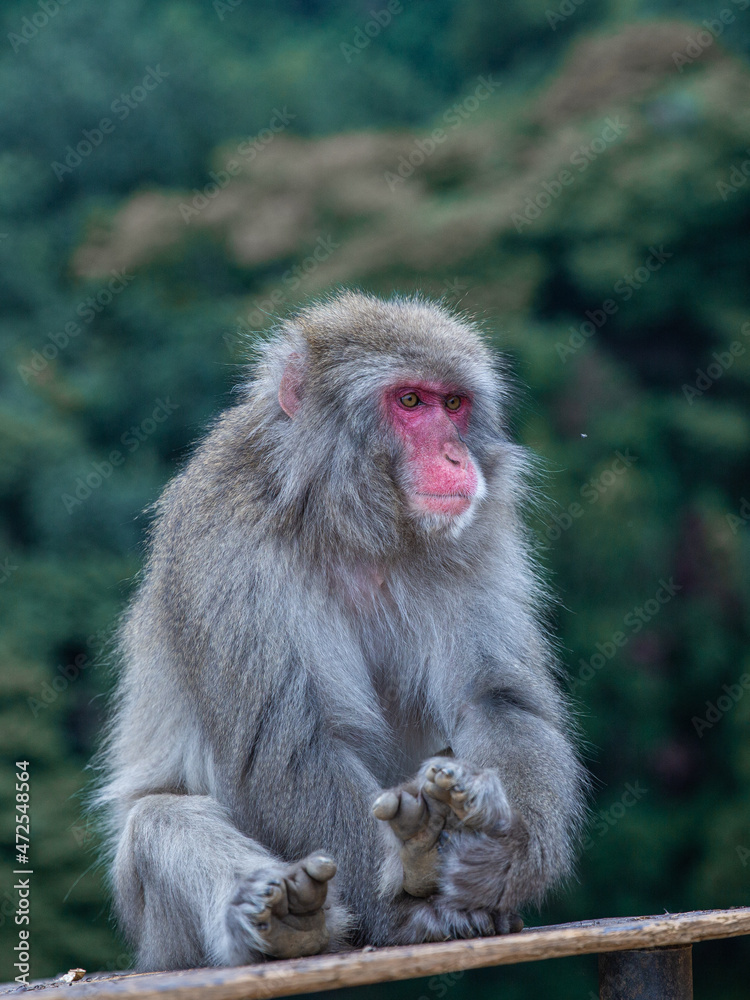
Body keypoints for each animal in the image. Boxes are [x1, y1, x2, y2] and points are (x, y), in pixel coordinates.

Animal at [95, 288, 588, 968]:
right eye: (409, 402)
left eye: (452, 404)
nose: (454, 455)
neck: (353, 524)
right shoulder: (227, 543)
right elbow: (292, 746)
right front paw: (403, 897)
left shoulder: (478, 535)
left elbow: (494, 698)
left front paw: (505, 851)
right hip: (160, 933)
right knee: (157, 822)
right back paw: (294, 917)